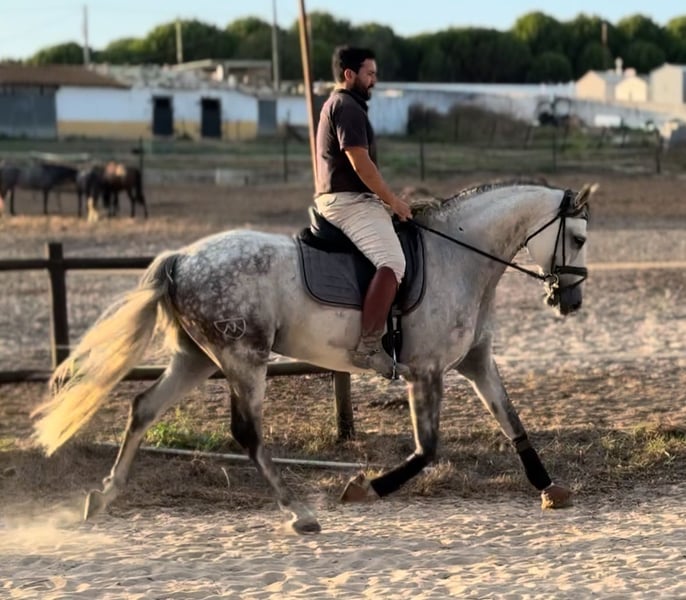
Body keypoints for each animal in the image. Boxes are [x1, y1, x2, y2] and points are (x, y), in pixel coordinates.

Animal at [31, 181, 595, 534]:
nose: (570, 301)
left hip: (196, 359)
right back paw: (300, 513)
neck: (460, 255)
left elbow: (512, 421)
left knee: (144, 408)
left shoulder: (476, 362)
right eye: (579, 237)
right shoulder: (426, 371)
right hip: (243, 358)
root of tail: (182, 259)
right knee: (247, 434)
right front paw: (364, 488)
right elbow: (427, 450)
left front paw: (549, 488)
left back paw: (104, 496)